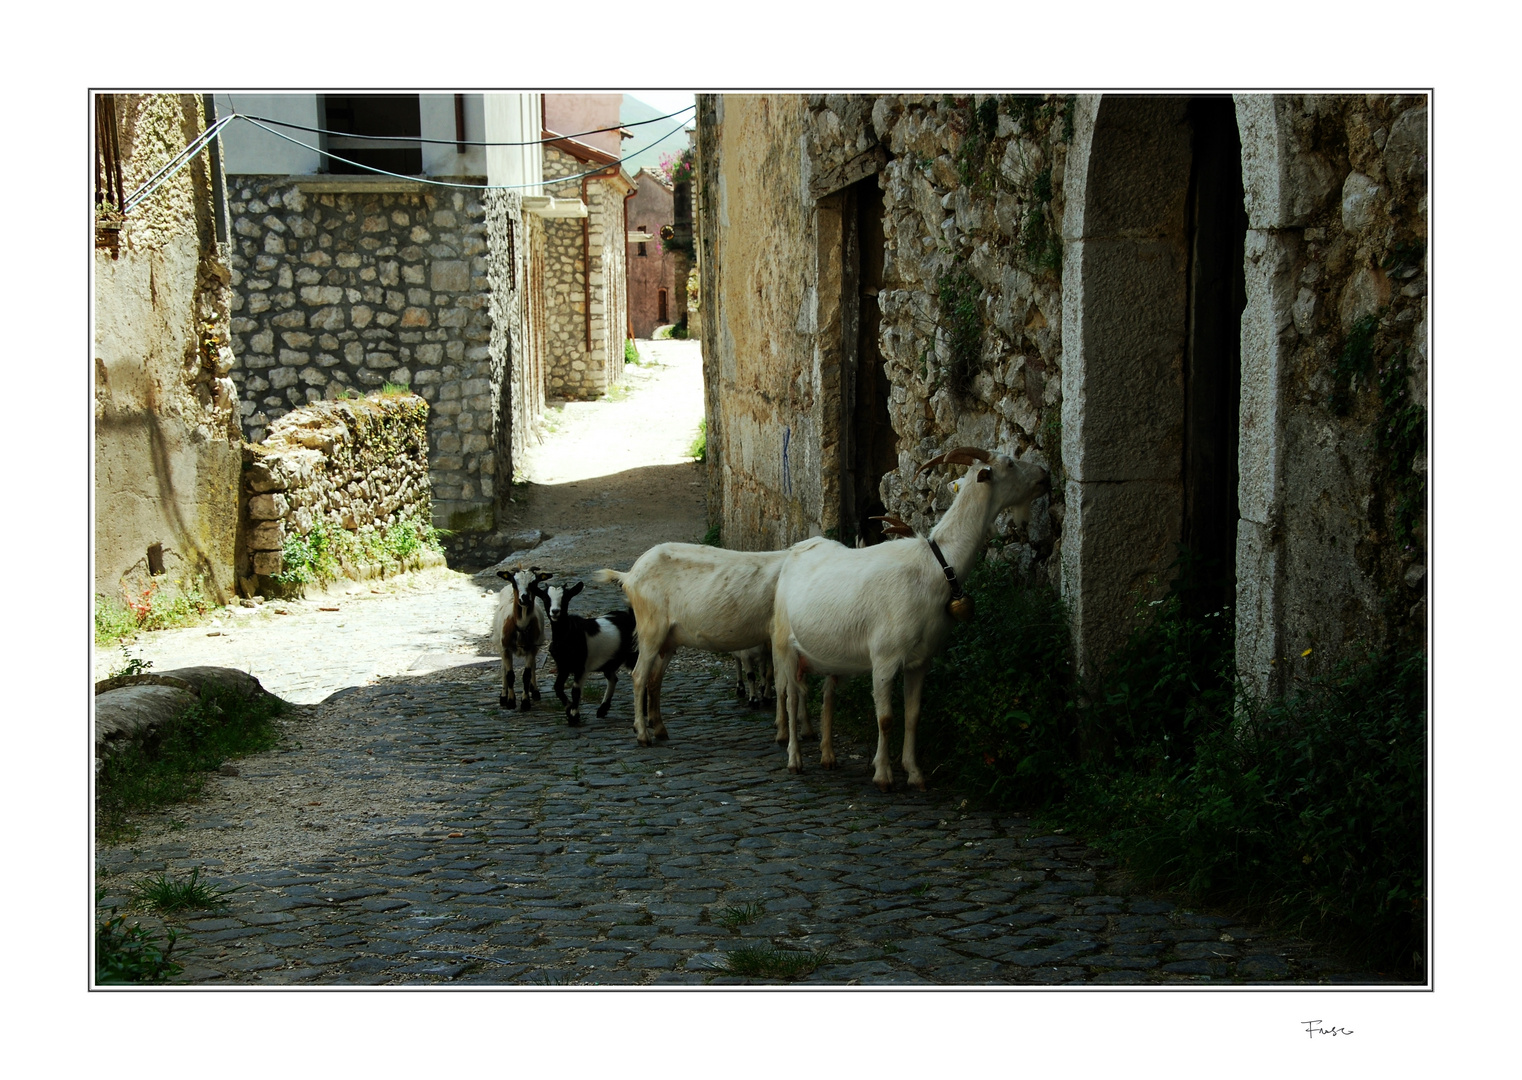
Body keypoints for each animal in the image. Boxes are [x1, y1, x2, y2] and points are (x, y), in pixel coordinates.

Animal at [596, 538, 834, 748]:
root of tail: (629, 575)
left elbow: (798, 684)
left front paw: (807, 731)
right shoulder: (777, 634)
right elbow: (782, 681)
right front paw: (784, 733)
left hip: (669, 638)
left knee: (654, 678)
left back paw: (660, 730)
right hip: (651, 626)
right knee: (639, 676)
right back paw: (643, 735)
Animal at [773, 447, 1047, 797]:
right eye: (1010, 463)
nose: (1045, 475)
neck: (936, 566)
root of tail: (797, 548)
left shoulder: (920, 660)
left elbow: (913, 715)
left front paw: (915, 774)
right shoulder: (884, 659)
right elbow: (886, 718)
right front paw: (883, 775)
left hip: (831, 657)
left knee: (824, 695)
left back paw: (828, 756)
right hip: (785, 646)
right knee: (792, 697)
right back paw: (794, 759)